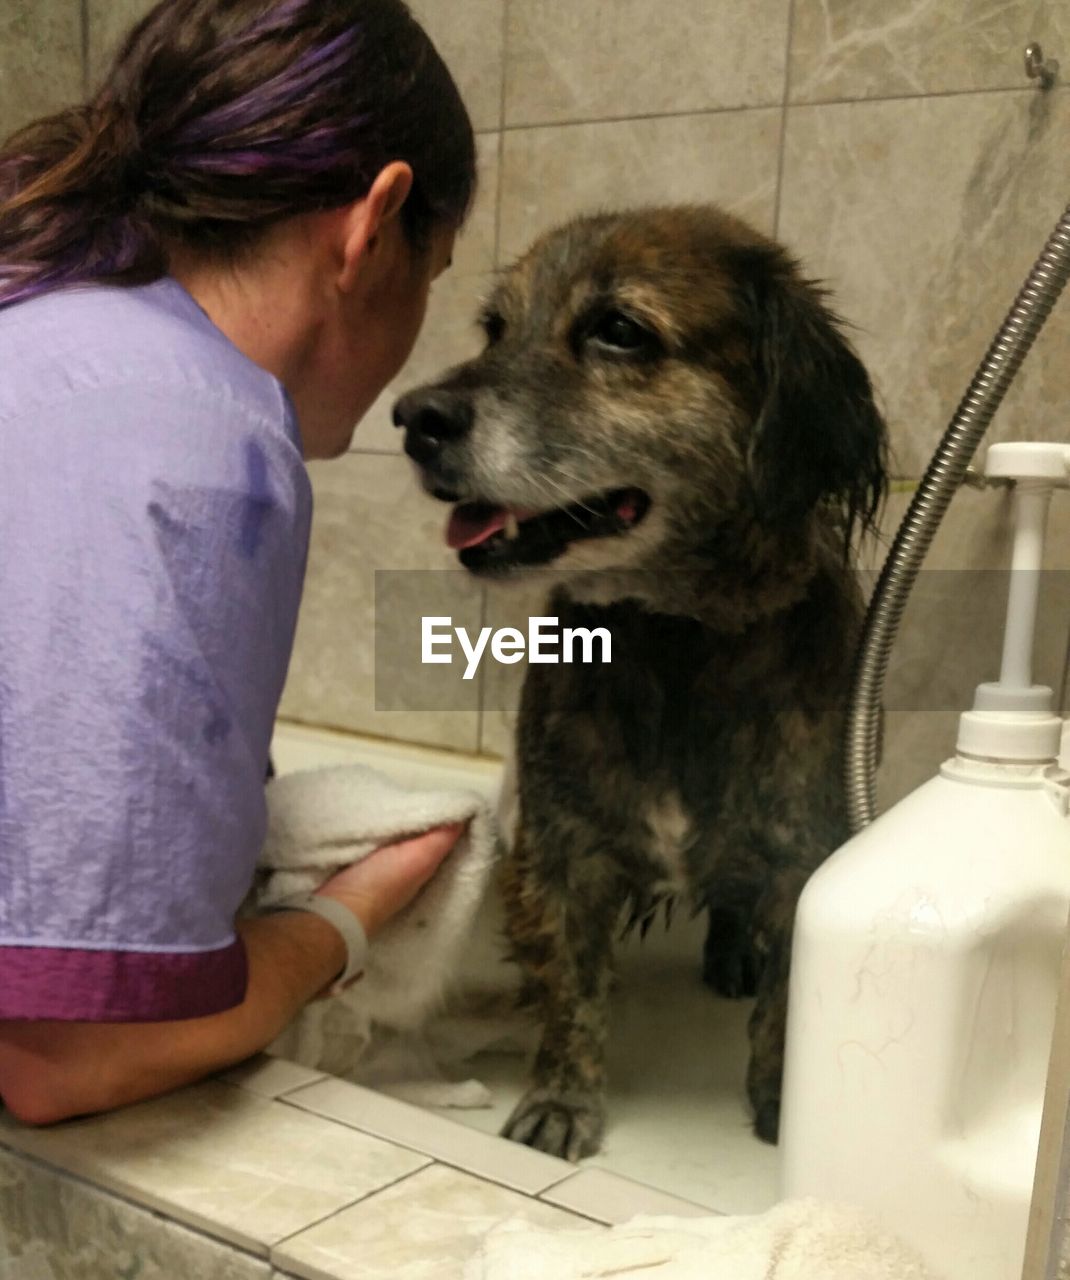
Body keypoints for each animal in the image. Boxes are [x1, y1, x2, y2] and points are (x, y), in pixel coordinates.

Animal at [391, 207, 885, 1162]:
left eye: (618, 330)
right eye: (496, 328)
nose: (412, 417)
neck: (676, 641)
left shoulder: (799, 860)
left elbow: (784, 1010)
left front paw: (779, 1106)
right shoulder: (561, 852)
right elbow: (572, 996)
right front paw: (560, 1101)